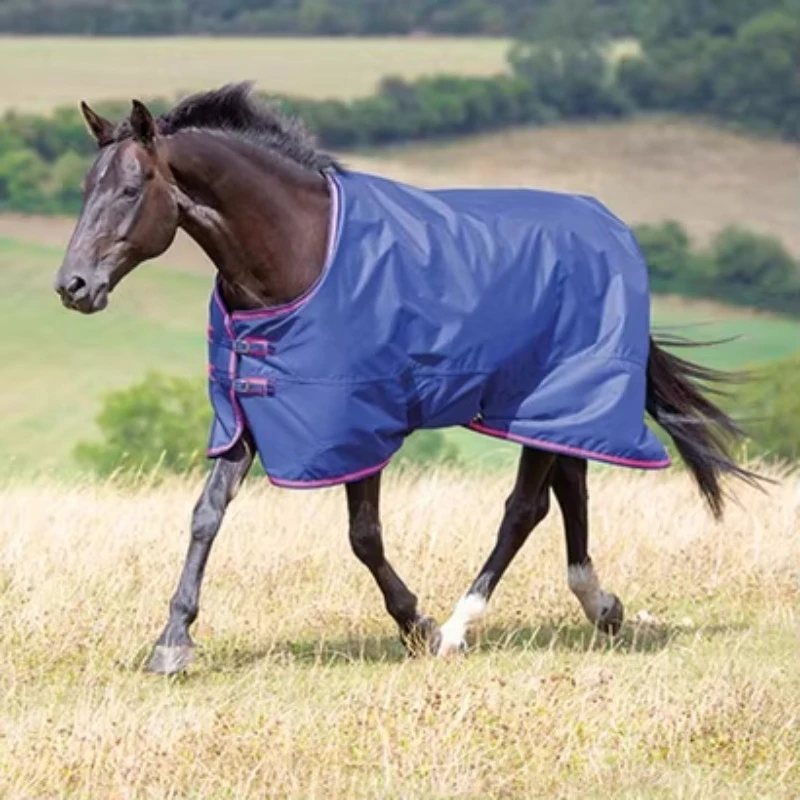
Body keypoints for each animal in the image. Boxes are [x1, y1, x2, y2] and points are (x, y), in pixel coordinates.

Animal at [53, 83, 758, 675]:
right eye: (86, 188)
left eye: (131, 189)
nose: (73, 286)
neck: (299, 250)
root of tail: (612, 232)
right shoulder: (252, 413)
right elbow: (206, 515)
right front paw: (172, 642)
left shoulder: (354, 419)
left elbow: (363, 536)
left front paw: (415, 624)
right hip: (552, 405)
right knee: (569, 487)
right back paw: (600, 606)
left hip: (542, 395)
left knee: (523, 509)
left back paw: (459, 628)